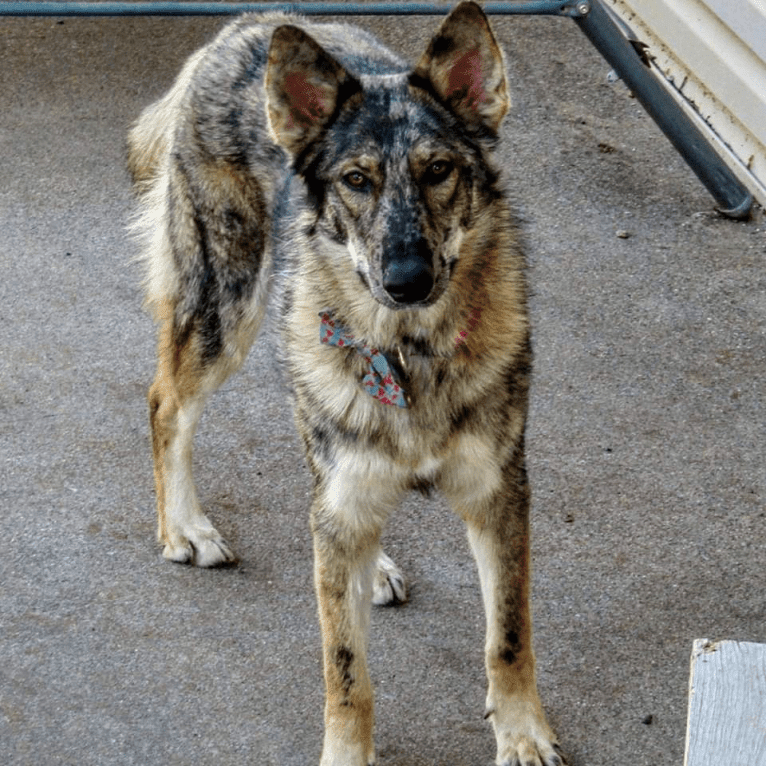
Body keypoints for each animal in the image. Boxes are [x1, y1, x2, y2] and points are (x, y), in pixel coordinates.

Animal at [127, 3, 564, 764]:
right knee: (167, 404)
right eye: (356, 181)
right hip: (224, 309)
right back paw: (184, 527)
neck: (412, 353)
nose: (407, 280)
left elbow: (509, 637)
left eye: (439, 170)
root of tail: (254, 23)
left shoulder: (500, 497)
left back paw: (376, 565)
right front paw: (347, 751)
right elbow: (346, 670)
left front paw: (521, 733)